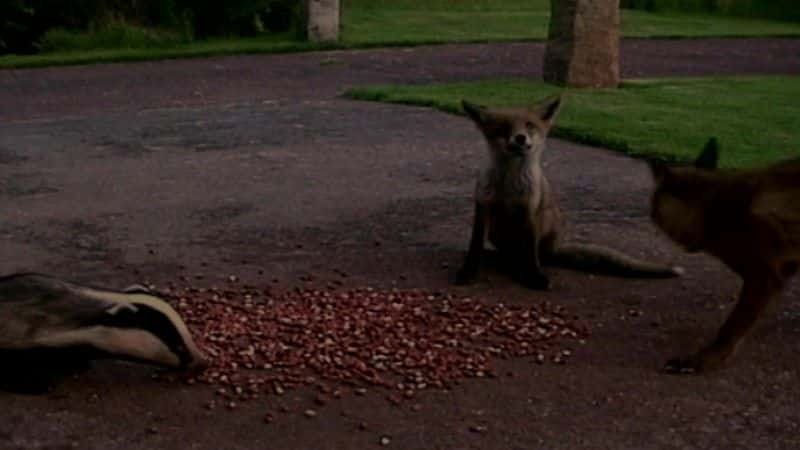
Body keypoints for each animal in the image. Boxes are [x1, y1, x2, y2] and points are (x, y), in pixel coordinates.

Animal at [456, 95, 680, 290]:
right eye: (504, 128)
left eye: (529, 125)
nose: (520, 138)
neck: (509, 187)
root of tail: (556, 248)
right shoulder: (483, 207)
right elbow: (475, 247)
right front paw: (468, 272)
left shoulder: (529, 211)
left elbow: (530, 254)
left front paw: (534, 277)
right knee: (508, 255)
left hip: (544, 225)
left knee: (533, 257)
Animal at [648, 139, 800, 374]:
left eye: (654, 208)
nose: (650, 214)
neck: (713, 206)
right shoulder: (783, 268)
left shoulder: (763, 277)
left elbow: (730, 328)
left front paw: (706, 358)